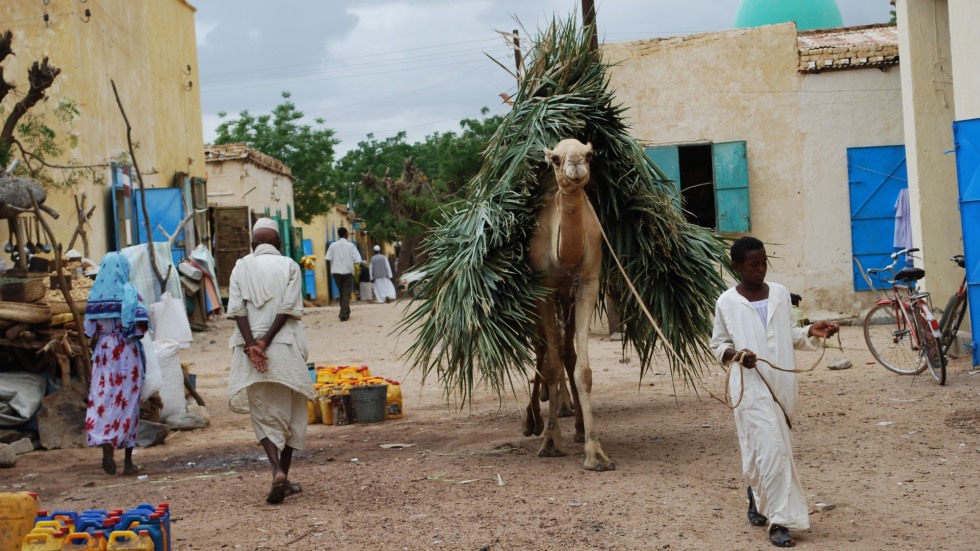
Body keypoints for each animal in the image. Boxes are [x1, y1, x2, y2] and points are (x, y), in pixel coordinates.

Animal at [520, 138, 612, 470]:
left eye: (589, 153)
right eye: (556, 159)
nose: (575, 164)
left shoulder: (586, 285)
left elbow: (582, 369)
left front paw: (595, 452)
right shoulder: (543, 290)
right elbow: (551, 365)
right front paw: (549, 441)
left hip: (567, 297)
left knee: (566, 353)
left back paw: (578, 426)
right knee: (544, 352)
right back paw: (532, 421)